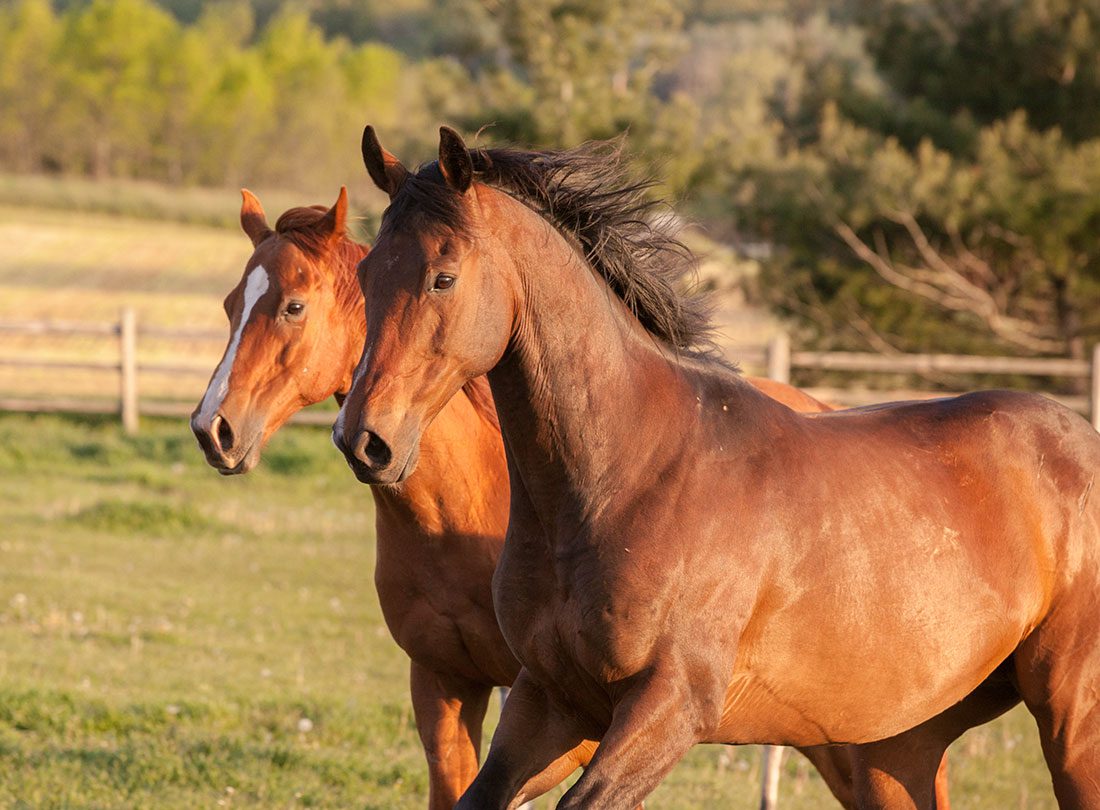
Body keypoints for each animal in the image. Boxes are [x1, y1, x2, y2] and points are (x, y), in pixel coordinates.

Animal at [188, 189, 921, 807]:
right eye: (227, 306)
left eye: (293, 306)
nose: (211, 428)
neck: (456, 515)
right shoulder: (445, 682)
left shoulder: (577, 711)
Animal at [337, 125, 1099, 809]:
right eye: (367, 274)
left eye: (443, 277)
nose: (363, 440)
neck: (628, 477)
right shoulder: (549, 701)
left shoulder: (669, 707)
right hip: (899, 747)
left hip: (1070, 722)